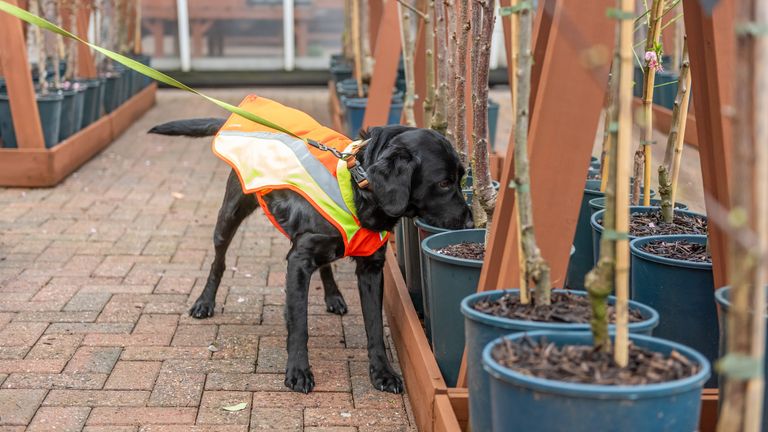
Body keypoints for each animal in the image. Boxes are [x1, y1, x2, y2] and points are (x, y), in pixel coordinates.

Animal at [147, 120, 472, 394]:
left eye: (461, 178)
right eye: (444, 183)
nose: (471, 222)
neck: (357, 187)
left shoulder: (371, 267)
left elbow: (375, 327)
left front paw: (383, 373)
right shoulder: (298, 262)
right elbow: (299, 324)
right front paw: (298, 372)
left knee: (326, 265)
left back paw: (334, 296)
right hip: (229, 215)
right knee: (219, 261)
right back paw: (204, 302)